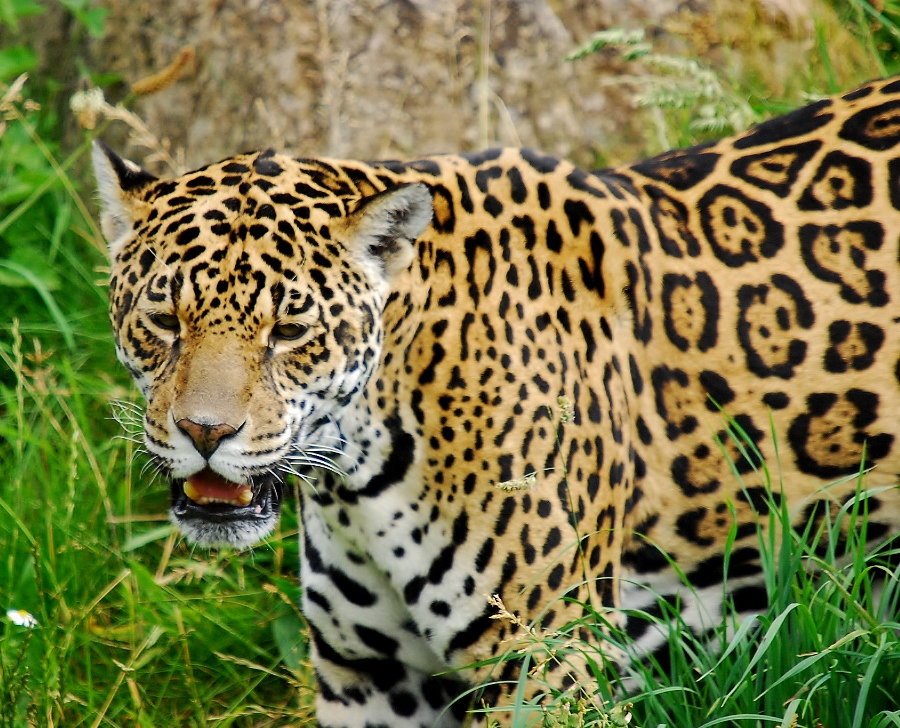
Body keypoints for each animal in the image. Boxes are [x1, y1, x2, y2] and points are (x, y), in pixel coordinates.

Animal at [93, 75, 900, 727]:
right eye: (163, 320)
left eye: (290, 331)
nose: (204, 432)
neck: (360, 476)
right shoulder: (371, 678)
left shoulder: (548, 664)